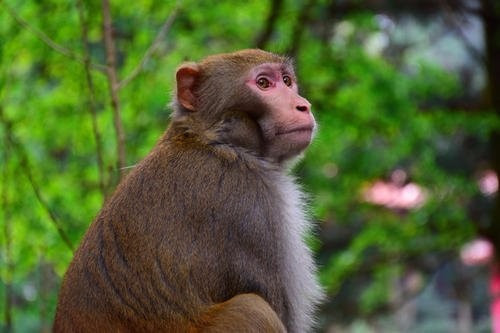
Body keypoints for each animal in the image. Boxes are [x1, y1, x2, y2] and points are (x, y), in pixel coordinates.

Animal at [52, 48, 322, 330]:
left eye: (287, 81)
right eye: (263, 84)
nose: (303, 105)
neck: (211, 141)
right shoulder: (253, 206)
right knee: (252, 308)